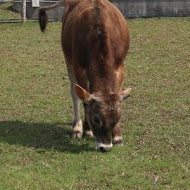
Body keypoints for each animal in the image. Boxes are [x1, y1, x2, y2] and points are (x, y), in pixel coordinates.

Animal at [38, 0, 131, 152]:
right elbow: (83, 100)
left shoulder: (119, 67)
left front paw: (117, 136)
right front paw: (87, 130)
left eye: (117, 117)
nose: (105, 147)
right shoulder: (78, 67)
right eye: (96, 119)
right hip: (68, 60)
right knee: (74, 93)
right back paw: (77, 127)